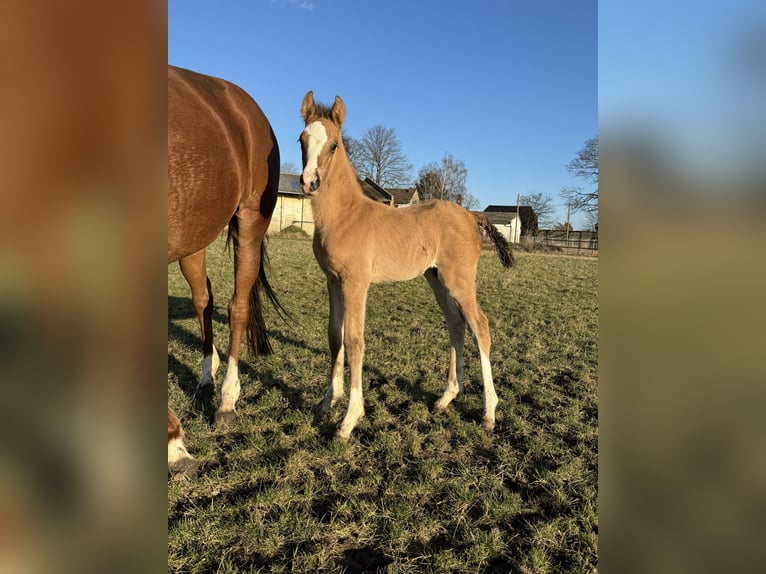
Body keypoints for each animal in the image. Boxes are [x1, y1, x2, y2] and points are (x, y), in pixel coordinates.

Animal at [166, 65, 284, 474]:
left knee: (238, 308)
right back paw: (206, 378)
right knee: (204, 300)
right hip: (192, 239)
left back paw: (227, 401)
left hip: (249, 222)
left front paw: (174, 446)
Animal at [300, 91, 516, 440]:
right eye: (301, 139)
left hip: (459, 279)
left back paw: (489, 412)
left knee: (480, 327)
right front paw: (326, 403)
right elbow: (334, 337)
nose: (309, 182)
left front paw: (349, 420)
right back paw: (445, 398)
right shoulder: (332, 281)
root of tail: (472, 216)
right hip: (436, 278)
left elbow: (354, 341)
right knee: (456, 325)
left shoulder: (356, 283)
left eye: (333, 144)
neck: (344, 216)